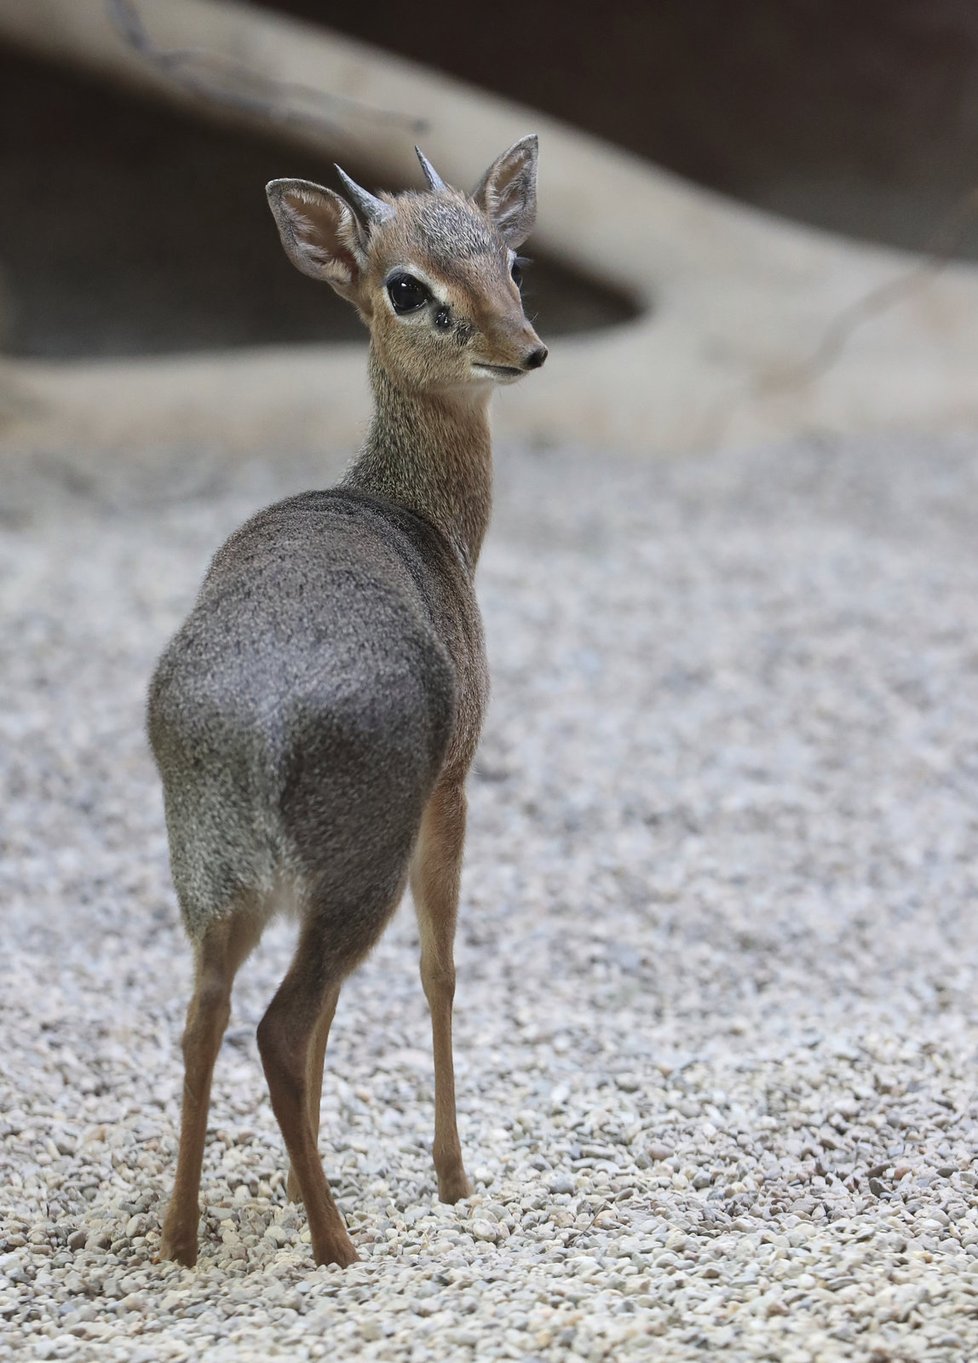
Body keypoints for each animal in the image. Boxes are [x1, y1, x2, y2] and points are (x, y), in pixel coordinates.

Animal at [148, 138, 547, 1264]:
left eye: (511, 256)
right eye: (406, 287)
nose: (526, 350)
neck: (421, 517)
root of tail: (248, 729)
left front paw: (293, 1177)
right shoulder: (454, 784)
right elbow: (440, 967)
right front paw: (453, 1176)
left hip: (218, 882)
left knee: (206, 1014)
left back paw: (183, 1236)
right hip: (353, 868)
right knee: (281, 1023)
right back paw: (337, 1244)